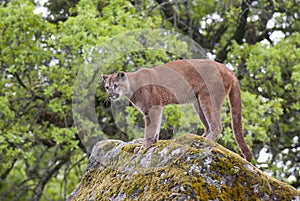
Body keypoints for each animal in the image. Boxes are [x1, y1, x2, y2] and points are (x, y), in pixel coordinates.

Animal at [102, 59, 252, 161]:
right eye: (107, 87)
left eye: (115, 85)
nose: (110, 95)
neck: (132, 86)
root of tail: (229, 70)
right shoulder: (157, 108)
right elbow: (156, 127)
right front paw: (153, 143)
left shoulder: (153, 107)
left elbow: (149, 130)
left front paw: (144, 147)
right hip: (197, 102)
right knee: (208, 125)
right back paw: (199, 138)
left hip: (207, 98)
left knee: (216, 126)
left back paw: (204, 142)